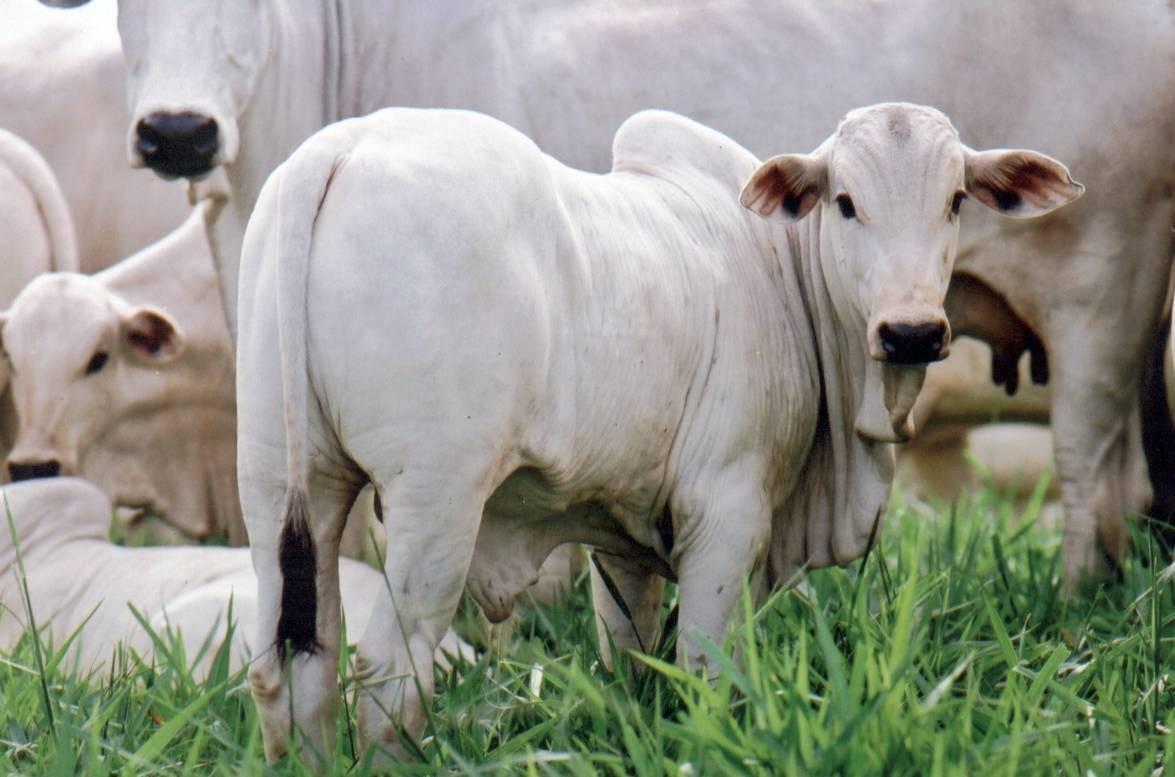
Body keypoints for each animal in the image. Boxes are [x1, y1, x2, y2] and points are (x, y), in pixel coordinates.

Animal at [231, 99, 1081, 761]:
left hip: (283, 486)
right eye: (844, 201)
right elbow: (705, 669)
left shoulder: (620, 533)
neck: (784, 273)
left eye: (955, 200)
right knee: (387, 673)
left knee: (293, 663)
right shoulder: (727, 511)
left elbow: (630, 659)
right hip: (434, 502)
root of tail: (338, 149)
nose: (911, 332)